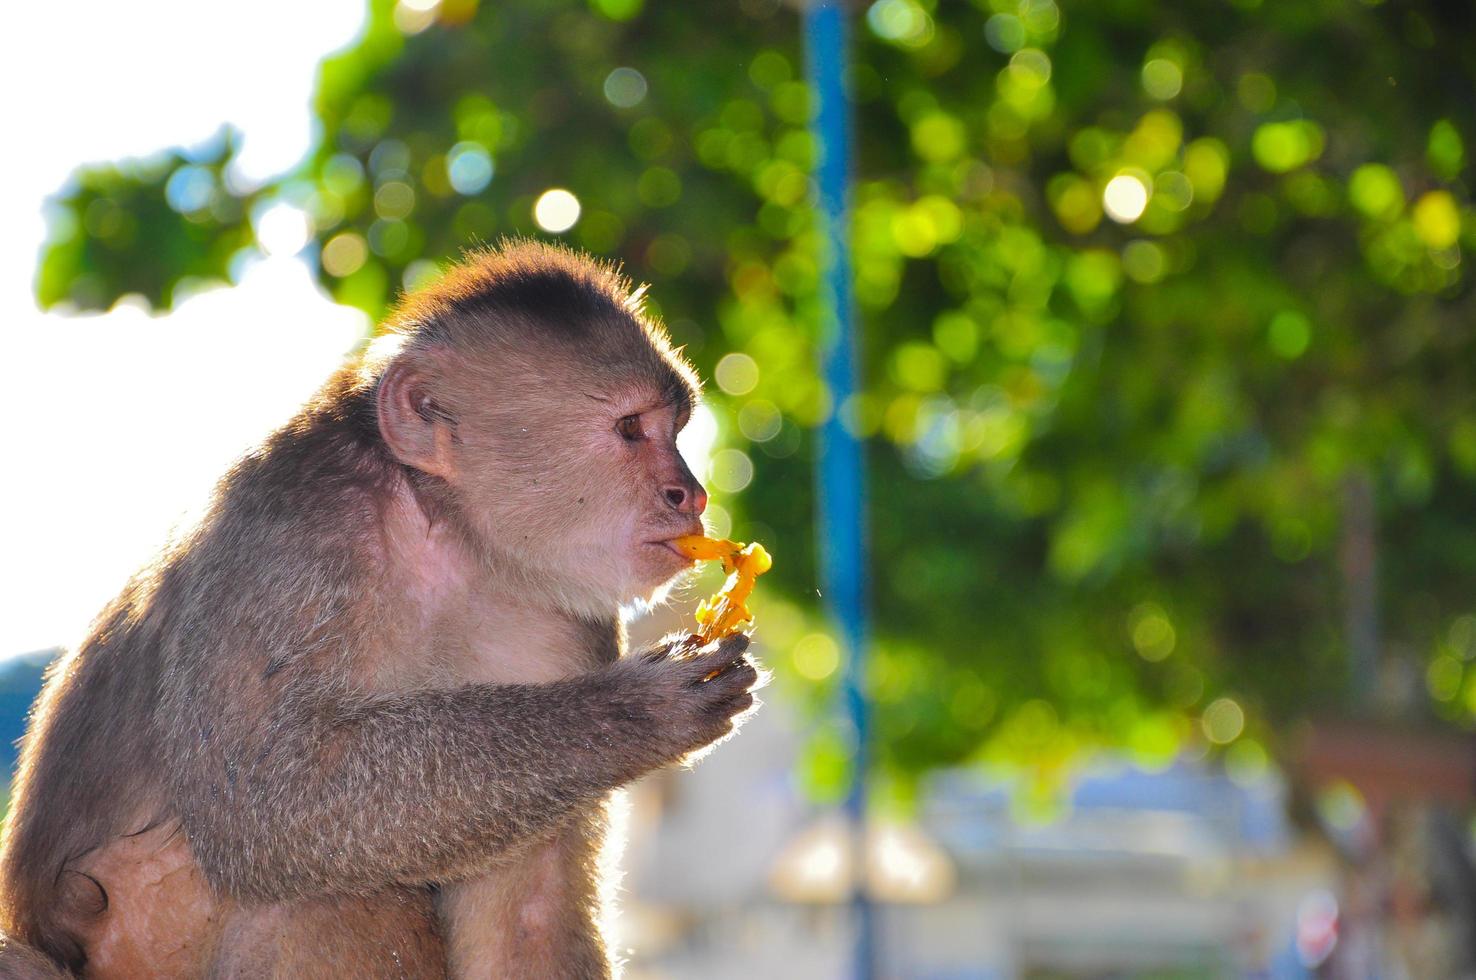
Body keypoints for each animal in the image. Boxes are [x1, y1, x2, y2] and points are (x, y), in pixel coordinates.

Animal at [0, 239, 761, 980]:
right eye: (632, 430)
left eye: (676, 429)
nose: (689, 494)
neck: (440, 534)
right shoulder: (291, 533)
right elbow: (260, 807)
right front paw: (627, 716)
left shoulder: (565, 622)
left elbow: (529, 918)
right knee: (314, 890)